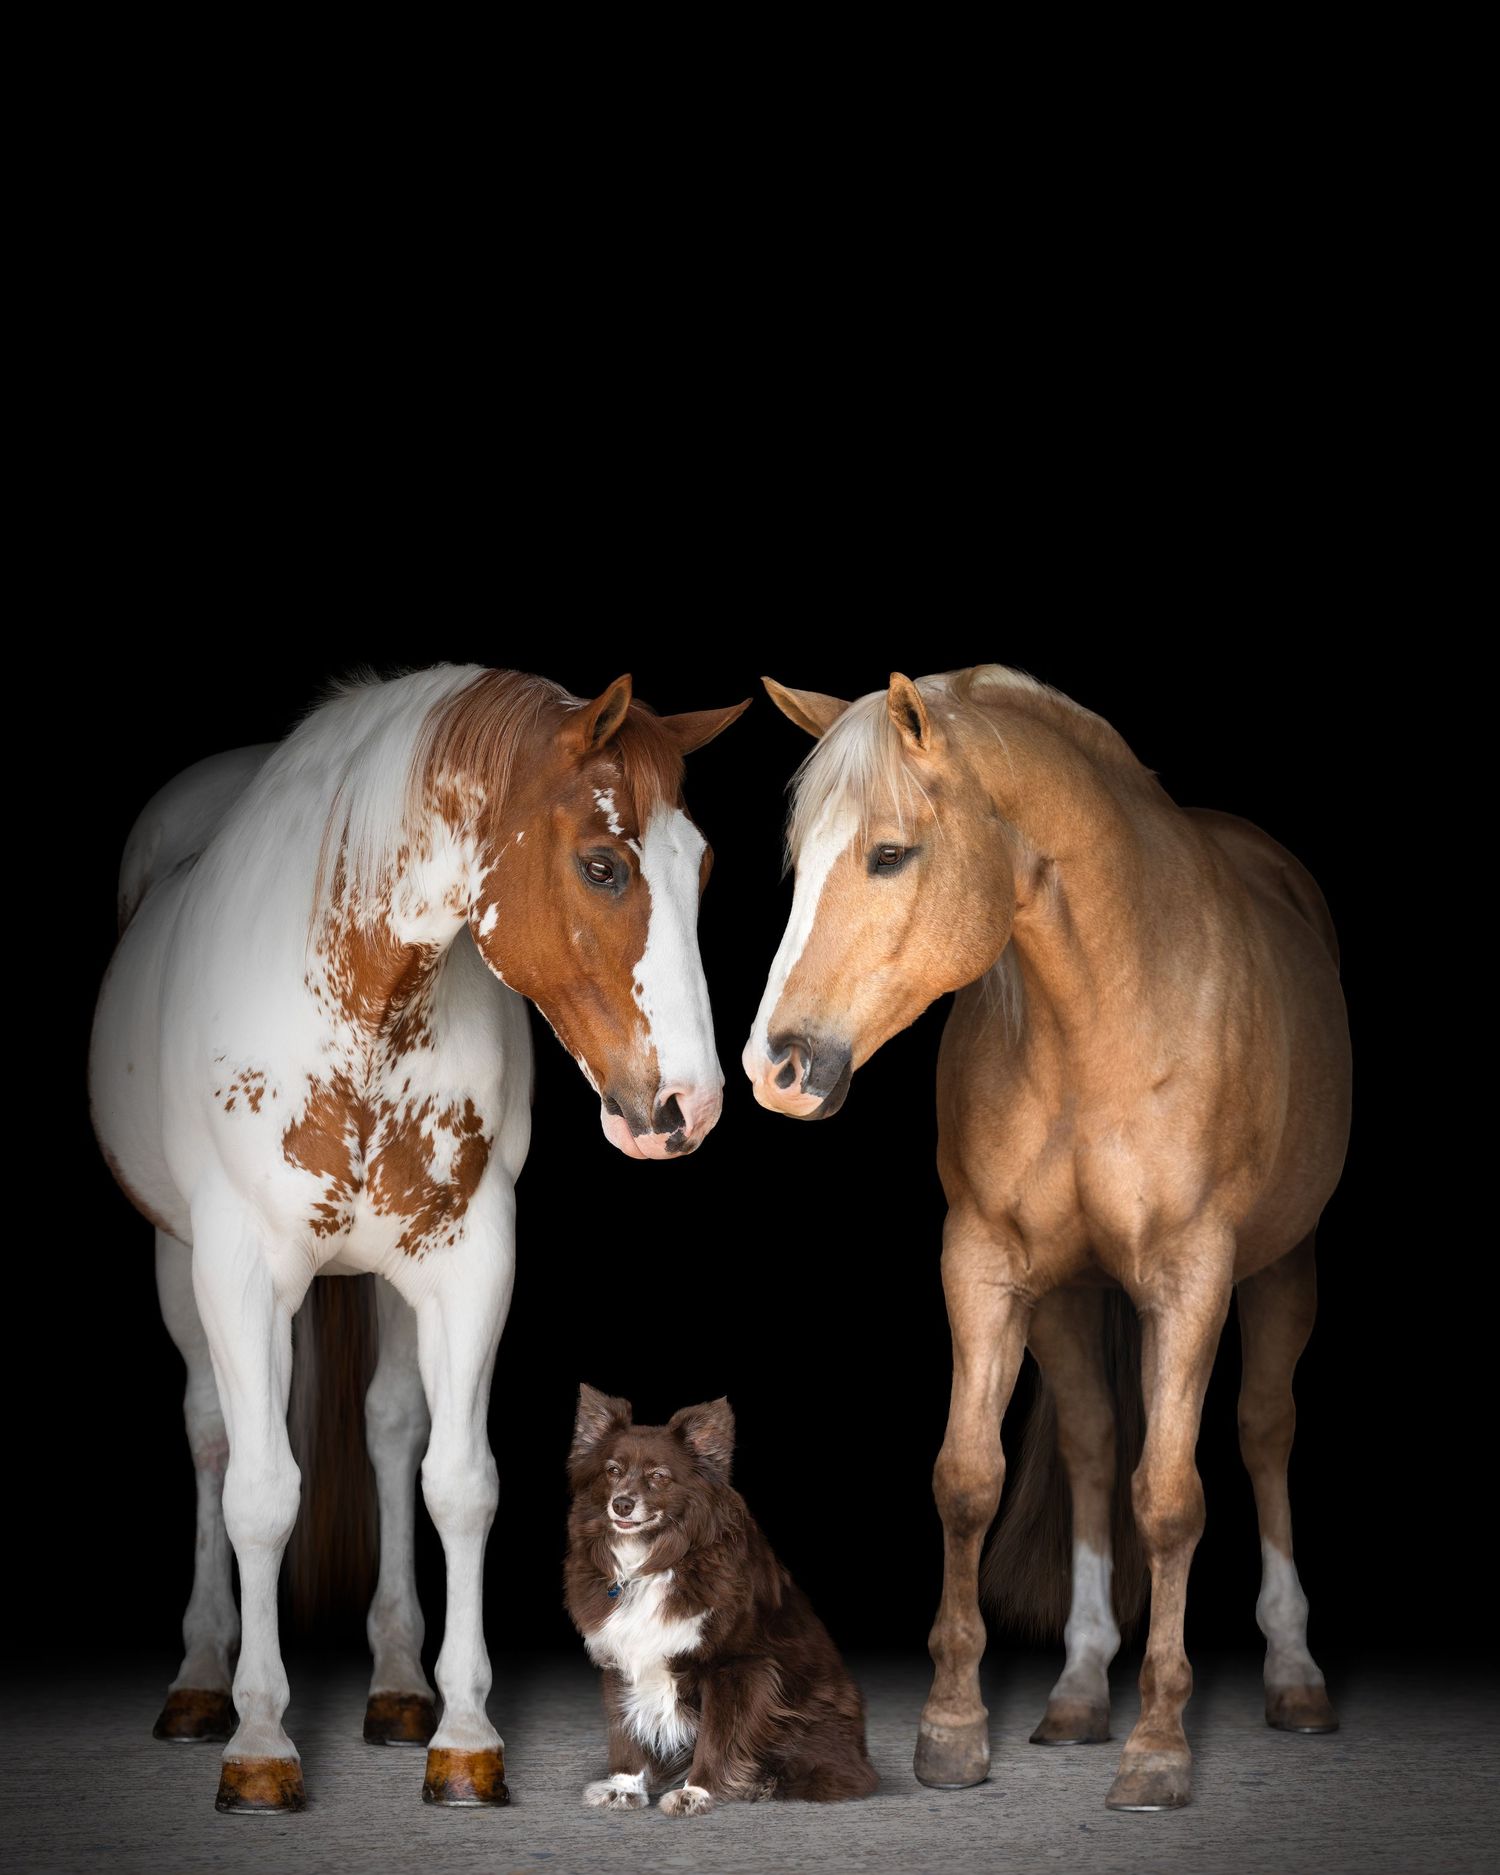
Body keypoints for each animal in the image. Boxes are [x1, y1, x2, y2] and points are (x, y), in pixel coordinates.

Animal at [89, 664, 748, 1813]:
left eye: (699, 866)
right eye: (604, 864)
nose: (687, 1107)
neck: (358, 999)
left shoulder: (468, 1263)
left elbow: (459, 1482)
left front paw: (466, 1735)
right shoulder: (240, 1271)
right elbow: (260, 1493)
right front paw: (260, 1743)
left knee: (392, 1432)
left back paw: (398, 1684)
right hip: (181, 1266)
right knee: (212, 1436)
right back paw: (202, 1678)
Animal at [745, 664, 1350, 1812]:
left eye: (891, 853)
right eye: (794, 866)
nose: (777, 1068)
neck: (1107, 1010)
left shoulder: (1191, 1277)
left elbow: (1171, 1498)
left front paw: (1158, 1746)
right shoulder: (987, 1266)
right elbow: (968, 1479)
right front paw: (952, 1728)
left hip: (1283, 1270)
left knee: (1264, 1432)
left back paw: (1296, 1676)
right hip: (1072, 1300)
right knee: (1092, 1443)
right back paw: (1074, 1691)